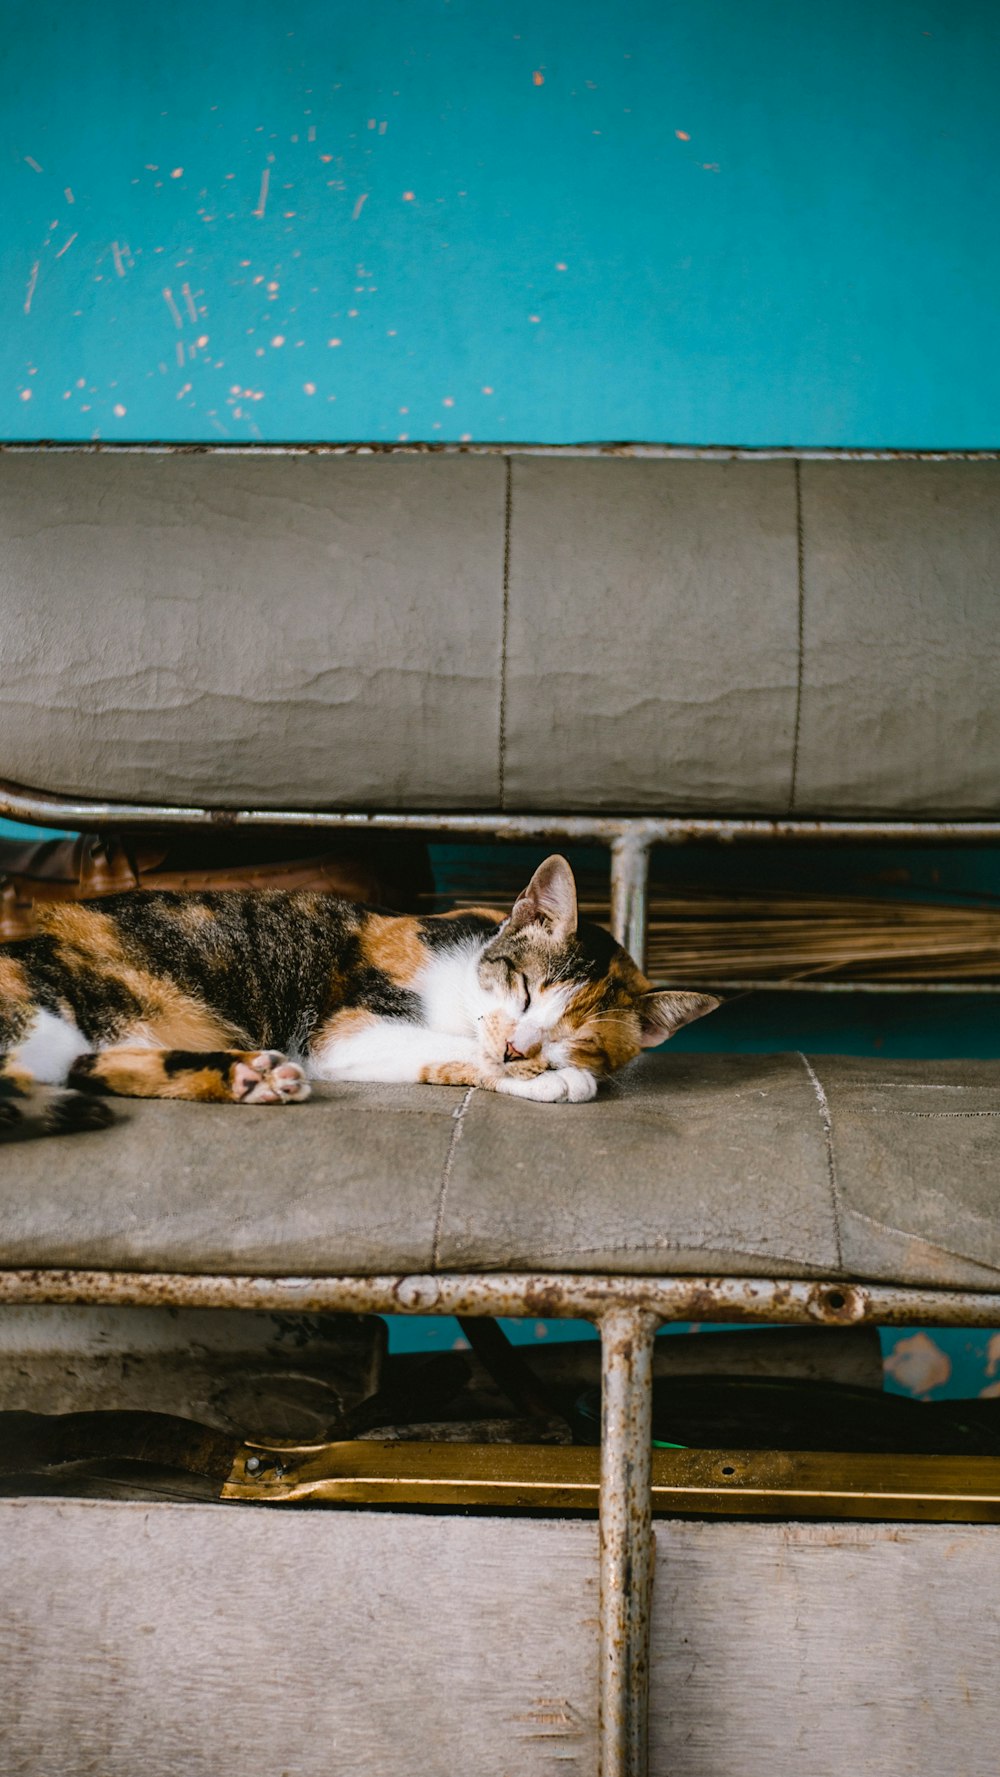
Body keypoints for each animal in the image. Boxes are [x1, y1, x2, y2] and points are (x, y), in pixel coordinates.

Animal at [0, 852, 721, 1130]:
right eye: (522, 989)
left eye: (581, 1035)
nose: (521, 1049)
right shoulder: (346, 1030)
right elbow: (450, 1049)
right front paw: (550, 1079)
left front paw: (553, 1071)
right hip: (47, 1011)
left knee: (86, 1065)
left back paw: (251, 1078)